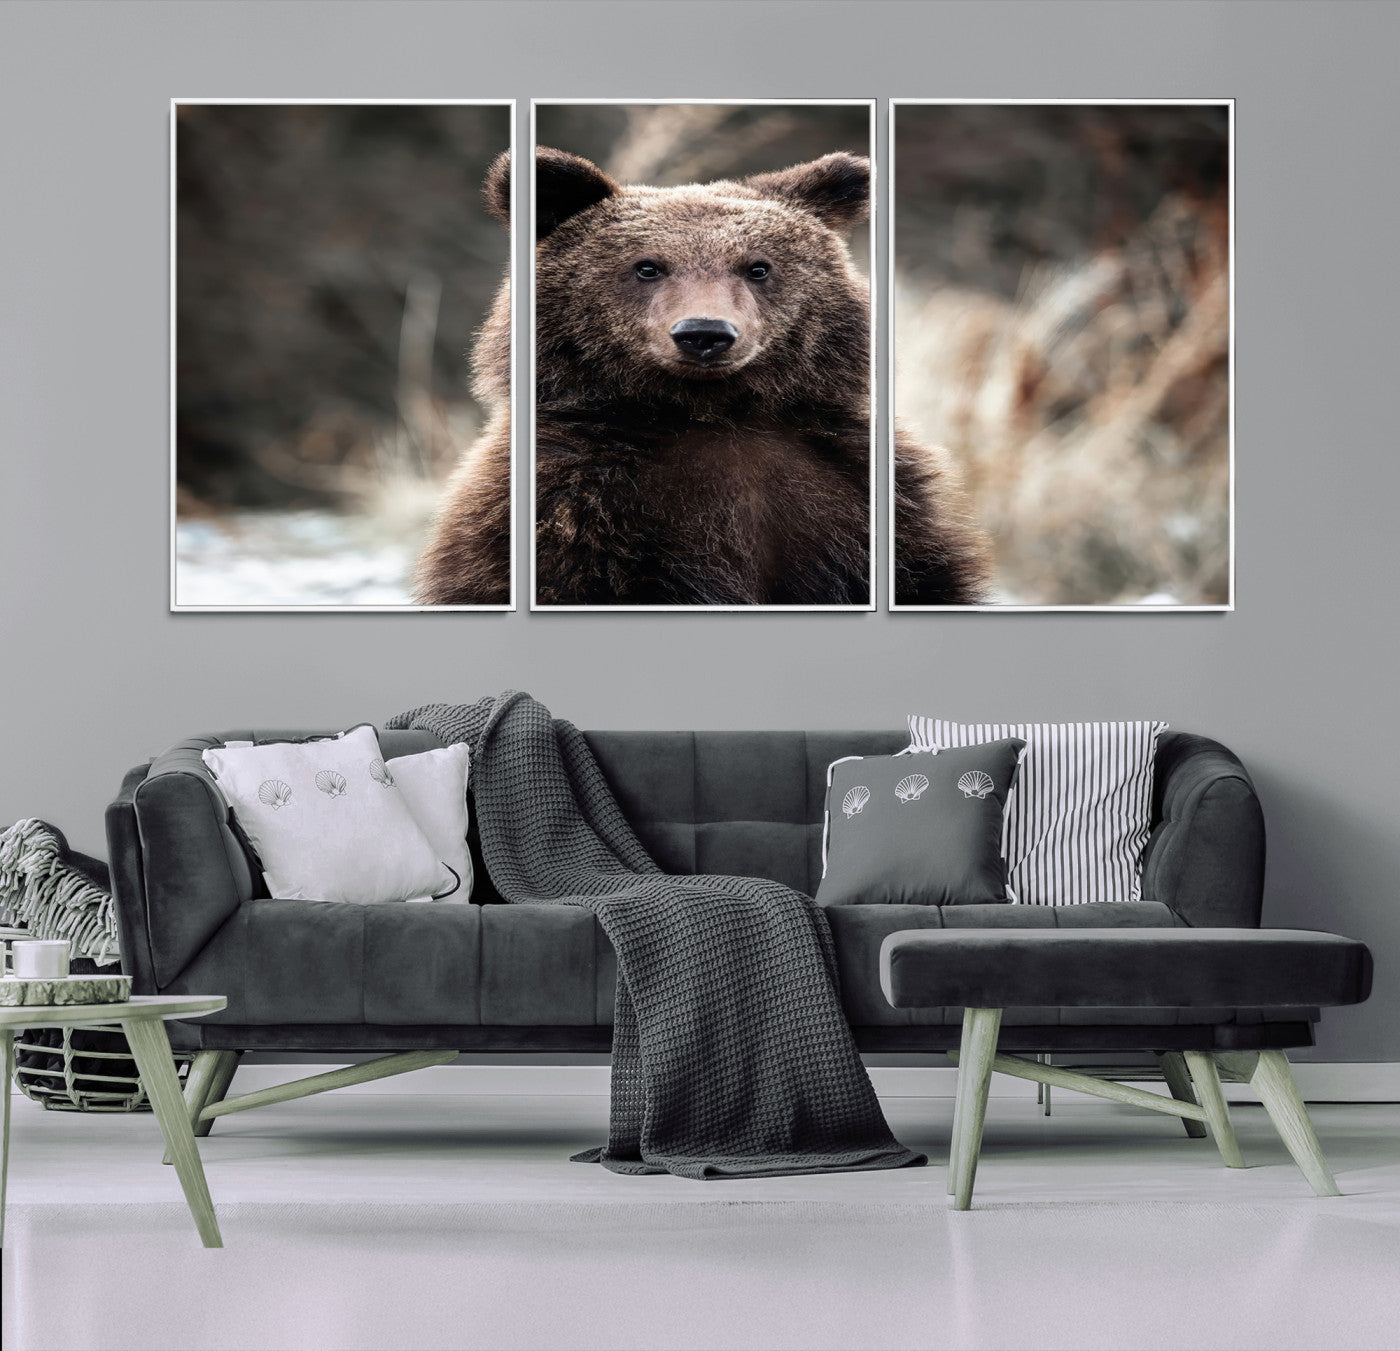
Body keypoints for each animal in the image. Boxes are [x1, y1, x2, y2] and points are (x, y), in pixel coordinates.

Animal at [414, 147, 989, 607]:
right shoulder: (567, 507)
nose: (704, 333)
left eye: (758, 267)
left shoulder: (860, 493)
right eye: (647, 266)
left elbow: (923, 578)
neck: (711, 412)